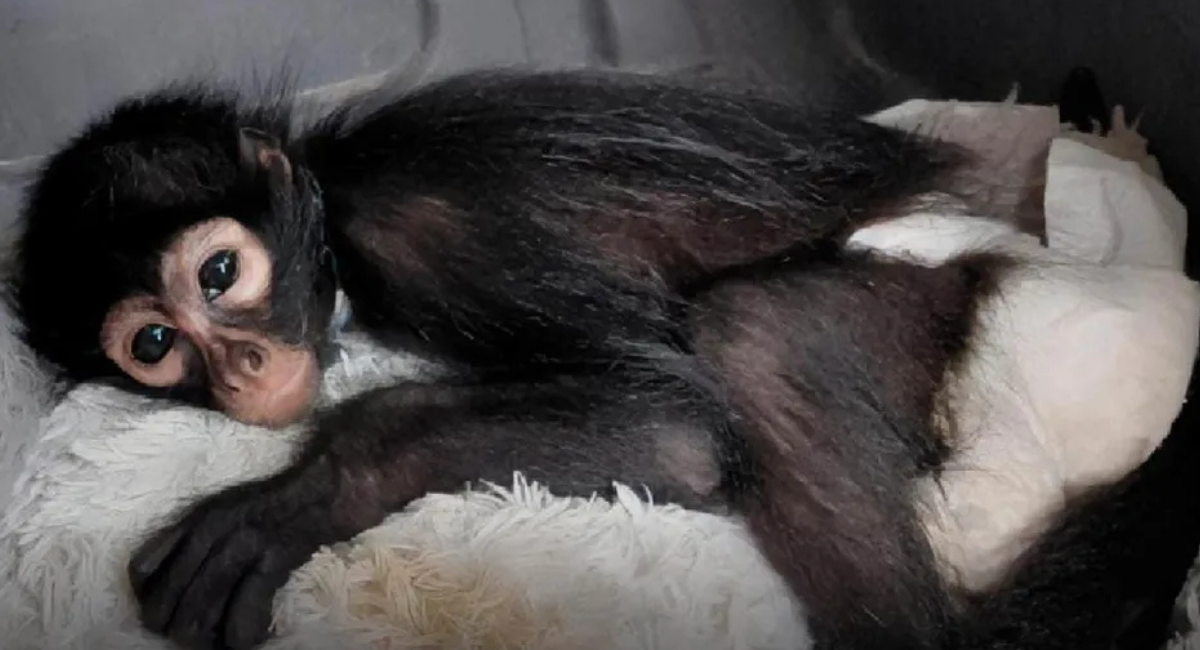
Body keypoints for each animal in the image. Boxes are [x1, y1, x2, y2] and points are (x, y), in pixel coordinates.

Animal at [9, 67, 1199, 650]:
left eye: (219, 274)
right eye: (155, 343)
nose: (247, 368)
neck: (333, 202)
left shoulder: (444, 226)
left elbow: (682, 437)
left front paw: (298, 497)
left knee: (751, 334)